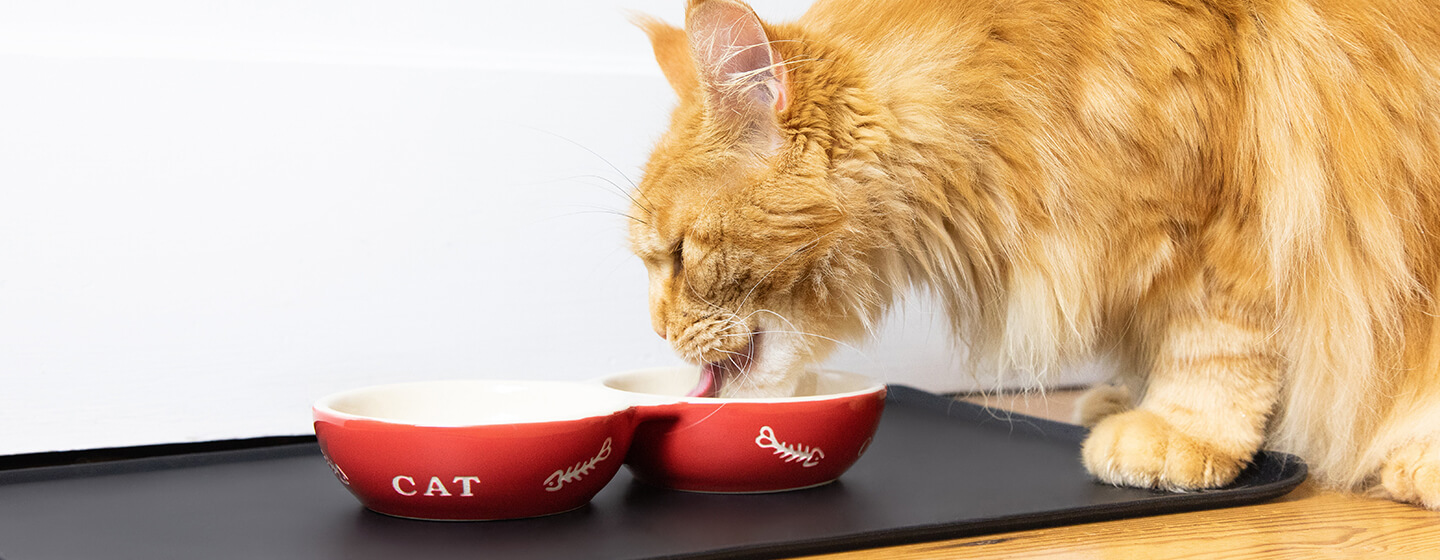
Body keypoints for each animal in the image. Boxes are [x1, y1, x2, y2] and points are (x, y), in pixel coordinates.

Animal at [627, 0, 1440, 506]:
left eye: (679, 254)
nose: (658, 328)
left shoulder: (1222, 212)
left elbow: (1217, 344)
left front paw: (1180, 430)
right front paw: (1133, 398)